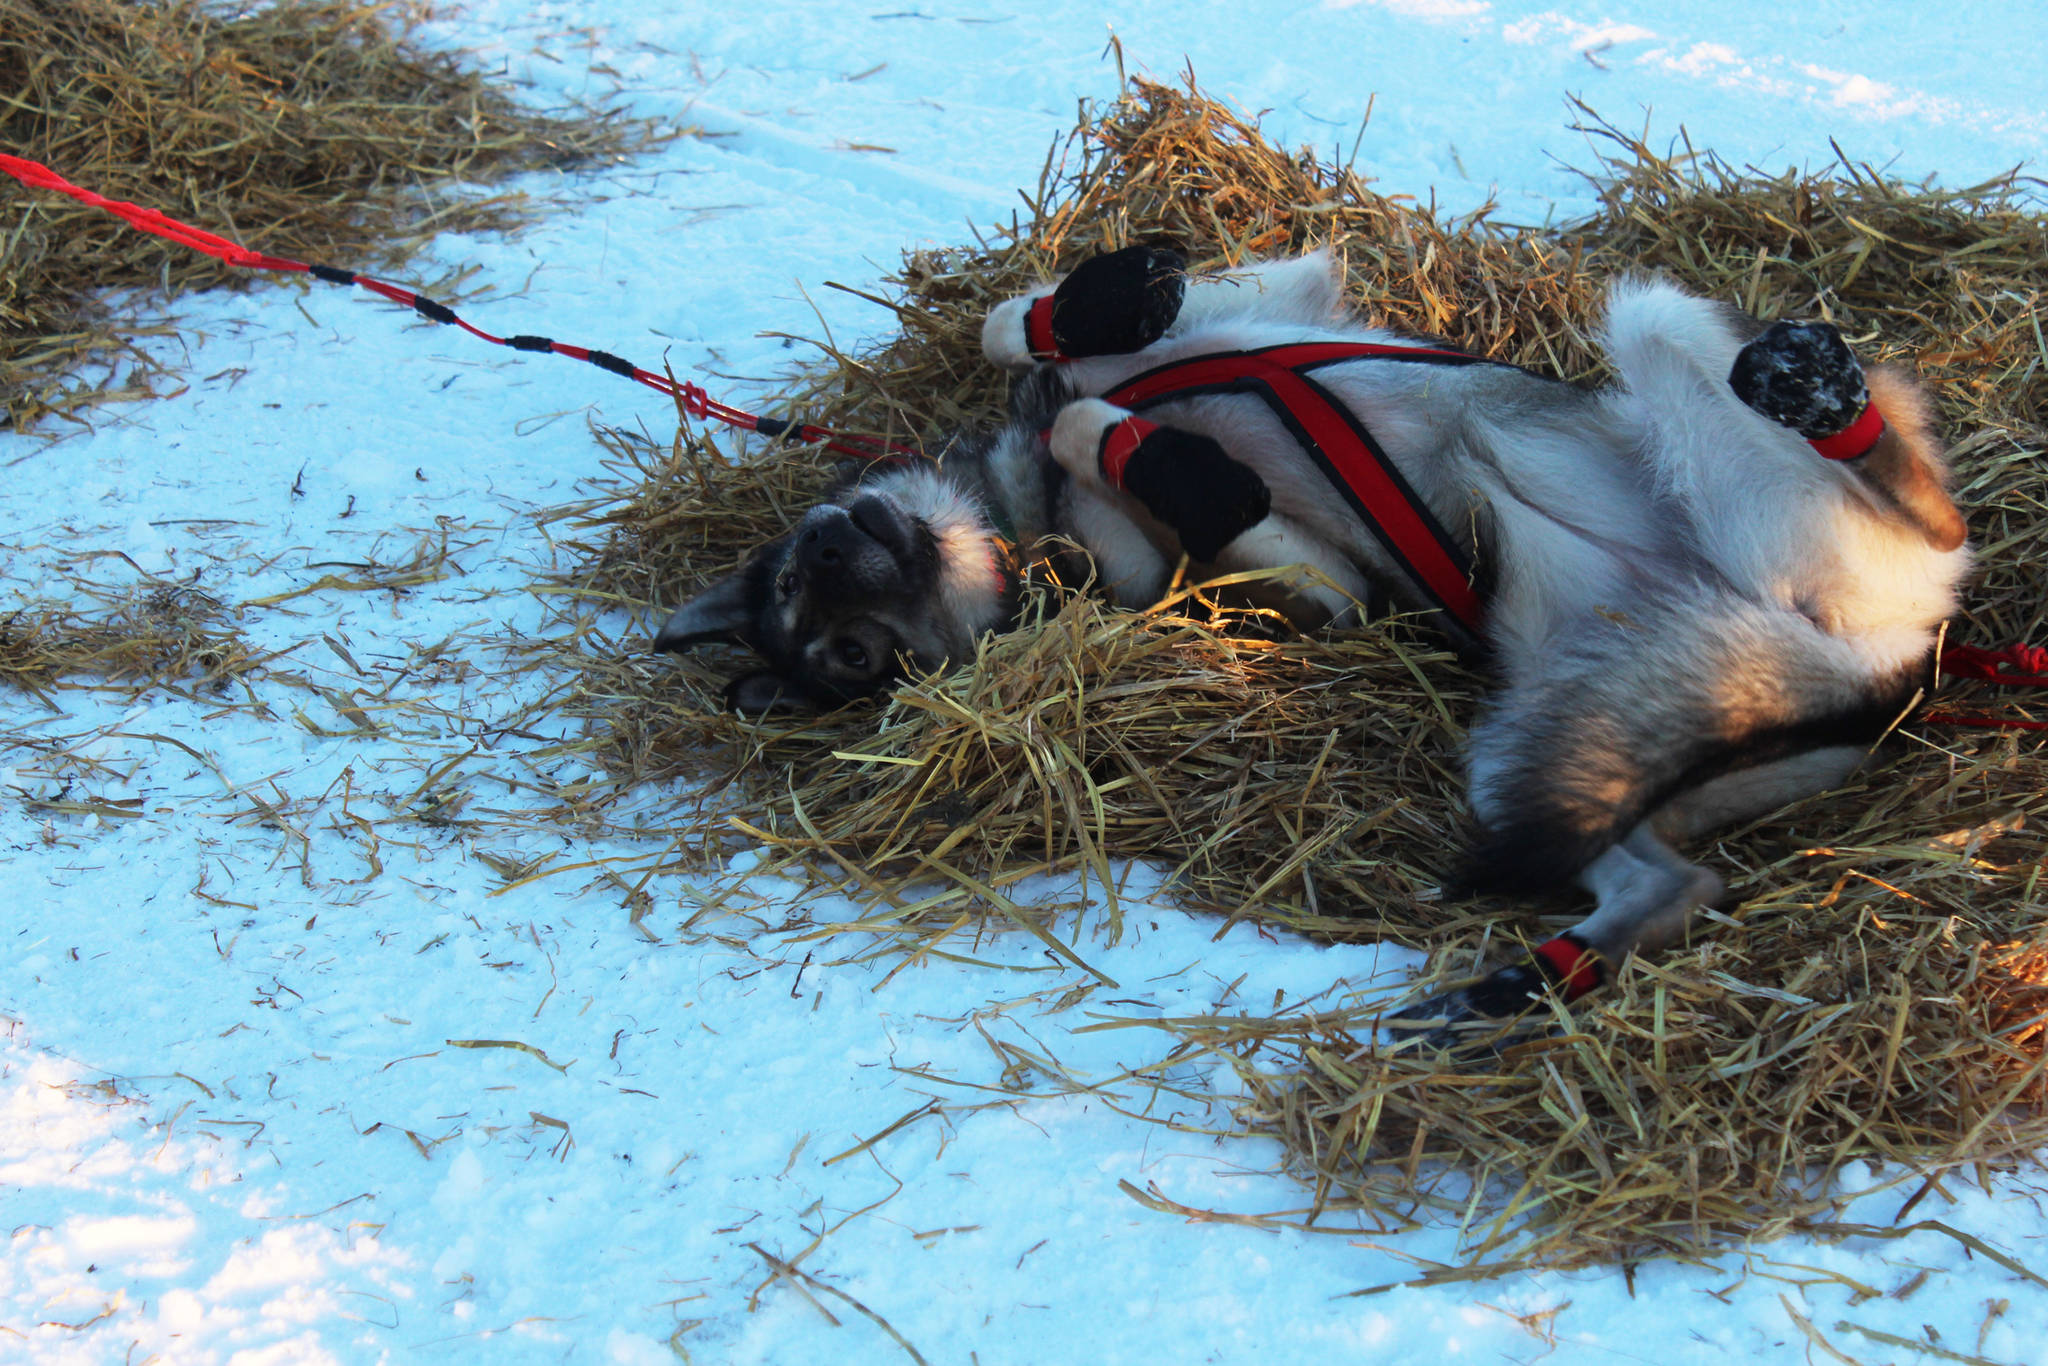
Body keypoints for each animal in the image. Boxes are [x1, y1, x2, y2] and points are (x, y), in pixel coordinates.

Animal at [655, 248, 1966, 1023]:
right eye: (846, 656)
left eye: (802, 580)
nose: (835, 560)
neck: (1027, 529)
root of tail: (1880, 671)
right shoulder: (1315, 586)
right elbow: (1115, 439)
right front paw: (1166, 462)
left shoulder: (1286, 296)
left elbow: (1025, 339)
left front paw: (1095, 303)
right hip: (1542, 748)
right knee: (1667, 877)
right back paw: (1517, 984)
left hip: (1662, 354)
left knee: (1925, 503)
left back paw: (1819, 393)